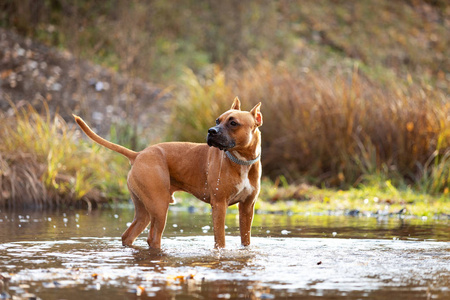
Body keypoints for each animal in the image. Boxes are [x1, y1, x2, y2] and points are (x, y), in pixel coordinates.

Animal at [74, 98, 262, 248]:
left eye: (233, 123)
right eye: (217, 120)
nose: (211, 130)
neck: (242, 161)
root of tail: (138, 154)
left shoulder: (247, 208)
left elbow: (246, 239)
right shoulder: (219, 206)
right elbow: (220, 241)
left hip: (144, 210)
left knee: (129, 235)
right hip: (159, 206)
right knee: (153, 238)